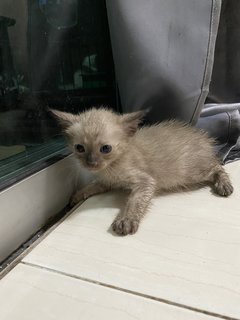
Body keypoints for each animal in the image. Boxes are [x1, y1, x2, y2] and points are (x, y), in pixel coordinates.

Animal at [51, 107, 233, 235]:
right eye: (79, 148)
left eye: (106, 148)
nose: (91, 163)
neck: (111, 167)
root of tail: (203, 139)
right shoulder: (106, 182)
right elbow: (90, 186)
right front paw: (76, 196)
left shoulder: (145, 181)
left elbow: (135, 201)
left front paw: (127, 220)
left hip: (190, 172)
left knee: (217, 166)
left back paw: (224, 186)